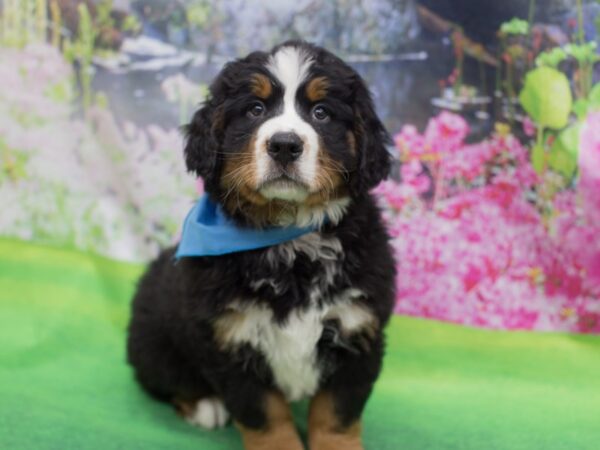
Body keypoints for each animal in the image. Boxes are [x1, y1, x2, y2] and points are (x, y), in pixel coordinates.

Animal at [127, 39, 394, 450]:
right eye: (255, 109)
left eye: (321, 112)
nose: (284, 145)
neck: (292, 242)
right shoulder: (229, 338)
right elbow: (266, 416)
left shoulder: (357, 328)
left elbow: (336, 414)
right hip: (153, 343)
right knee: (168, 381)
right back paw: (205, 406)